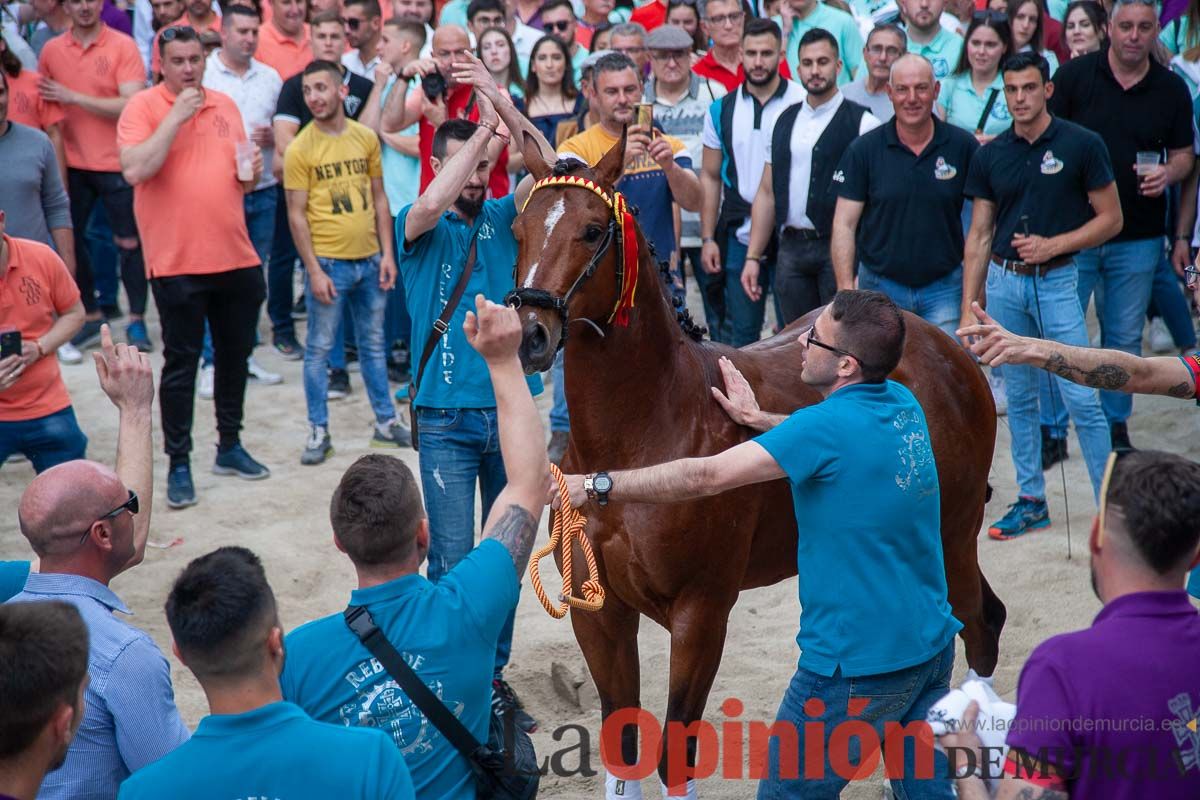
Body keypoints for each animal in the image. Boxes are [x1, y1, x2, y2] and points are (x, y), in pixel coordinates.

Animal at [506, 134, 1003, 791]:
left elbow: (675, 756)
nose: (529, 335)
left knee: (979, 625)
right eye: (518, 228)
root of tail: (947, 346)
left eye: (591, 231)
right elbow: (622, 751)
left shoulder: (701, 614)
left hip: (953, 540)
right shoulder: (600, 615)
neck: (640, 438)